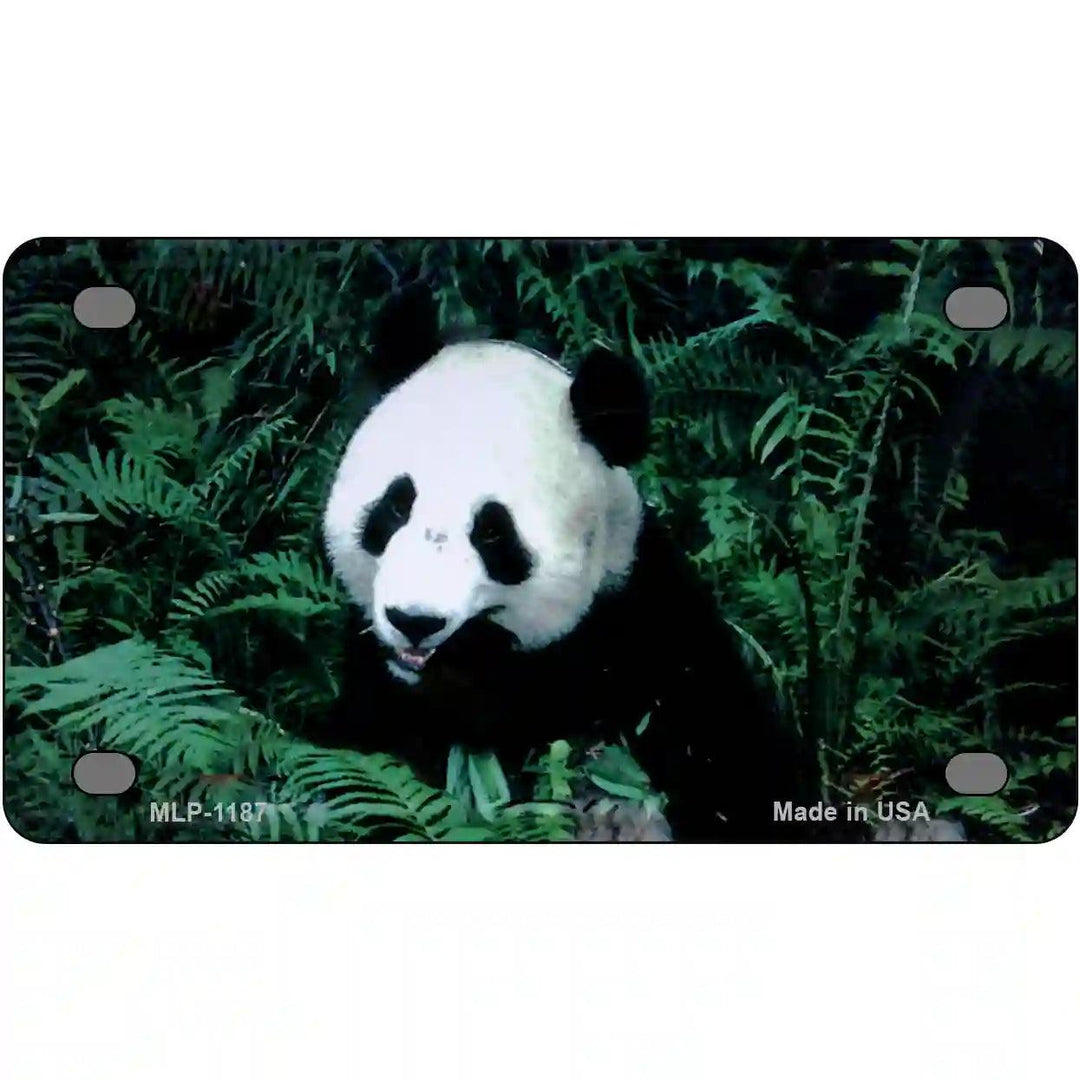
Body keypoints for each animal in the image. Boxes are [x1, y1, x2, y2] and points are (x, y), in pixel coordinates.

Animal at [321, 284, 808, 841]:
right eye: (397, 505)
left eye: (492, 531)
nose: (415, 621)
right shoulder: (377, 693)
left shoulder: (648, 634)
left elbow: (732, 765)